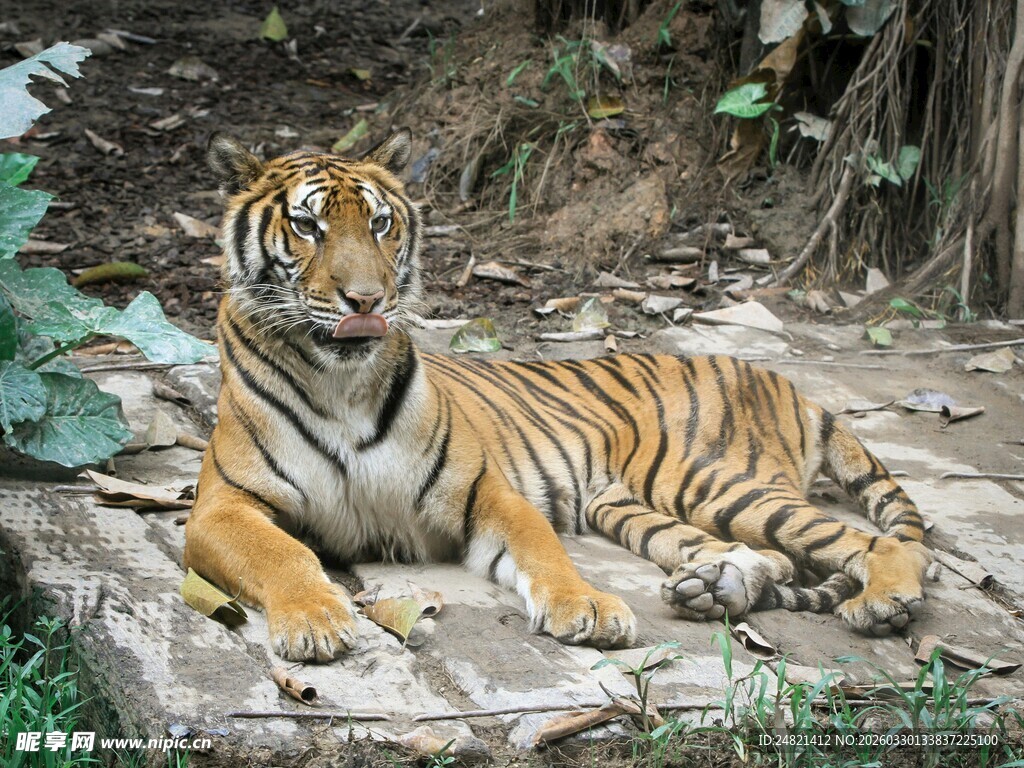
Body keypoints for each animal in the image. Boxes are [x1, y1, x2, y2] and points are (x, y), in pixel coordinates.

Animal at [183, 129, 932, 662]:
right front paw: (313, 620)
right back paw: (715, 587)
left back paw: (882, 603)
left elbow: (542, 547)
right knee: (773, 556)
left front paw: (588, 609)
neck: (342, 379)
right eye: (308, 226)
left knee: (877, 544)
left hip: (714, 480)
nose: (366, 300)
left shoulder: (484, 490)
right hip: (636, 505)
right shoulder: (222, 506)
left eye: (381, 224)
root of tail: (782, 380)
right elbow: (283, 554)